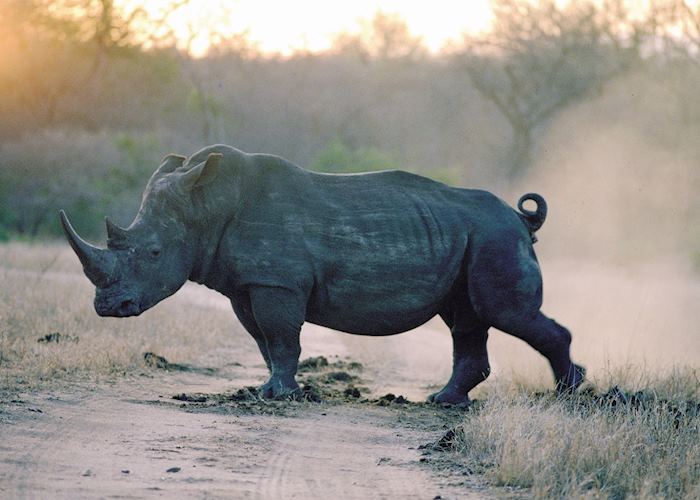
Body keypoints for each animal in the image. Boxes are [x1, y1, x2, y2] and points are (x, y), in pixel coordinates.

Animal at [60, 144, 584, 405]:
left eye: (153, 252)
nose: (108, 308)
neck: (205, 206)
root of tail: (521, 219)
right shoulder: (246, 285)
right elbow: (264, 341)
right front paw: (267, 390)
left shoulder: (277, 281)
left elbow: (281, 337)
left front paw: (281, 396)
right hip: (472, 237)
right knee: (467, 319)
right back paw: (445, 402)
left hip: (495, 237)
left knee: (503, 312)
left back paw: (569, 394)